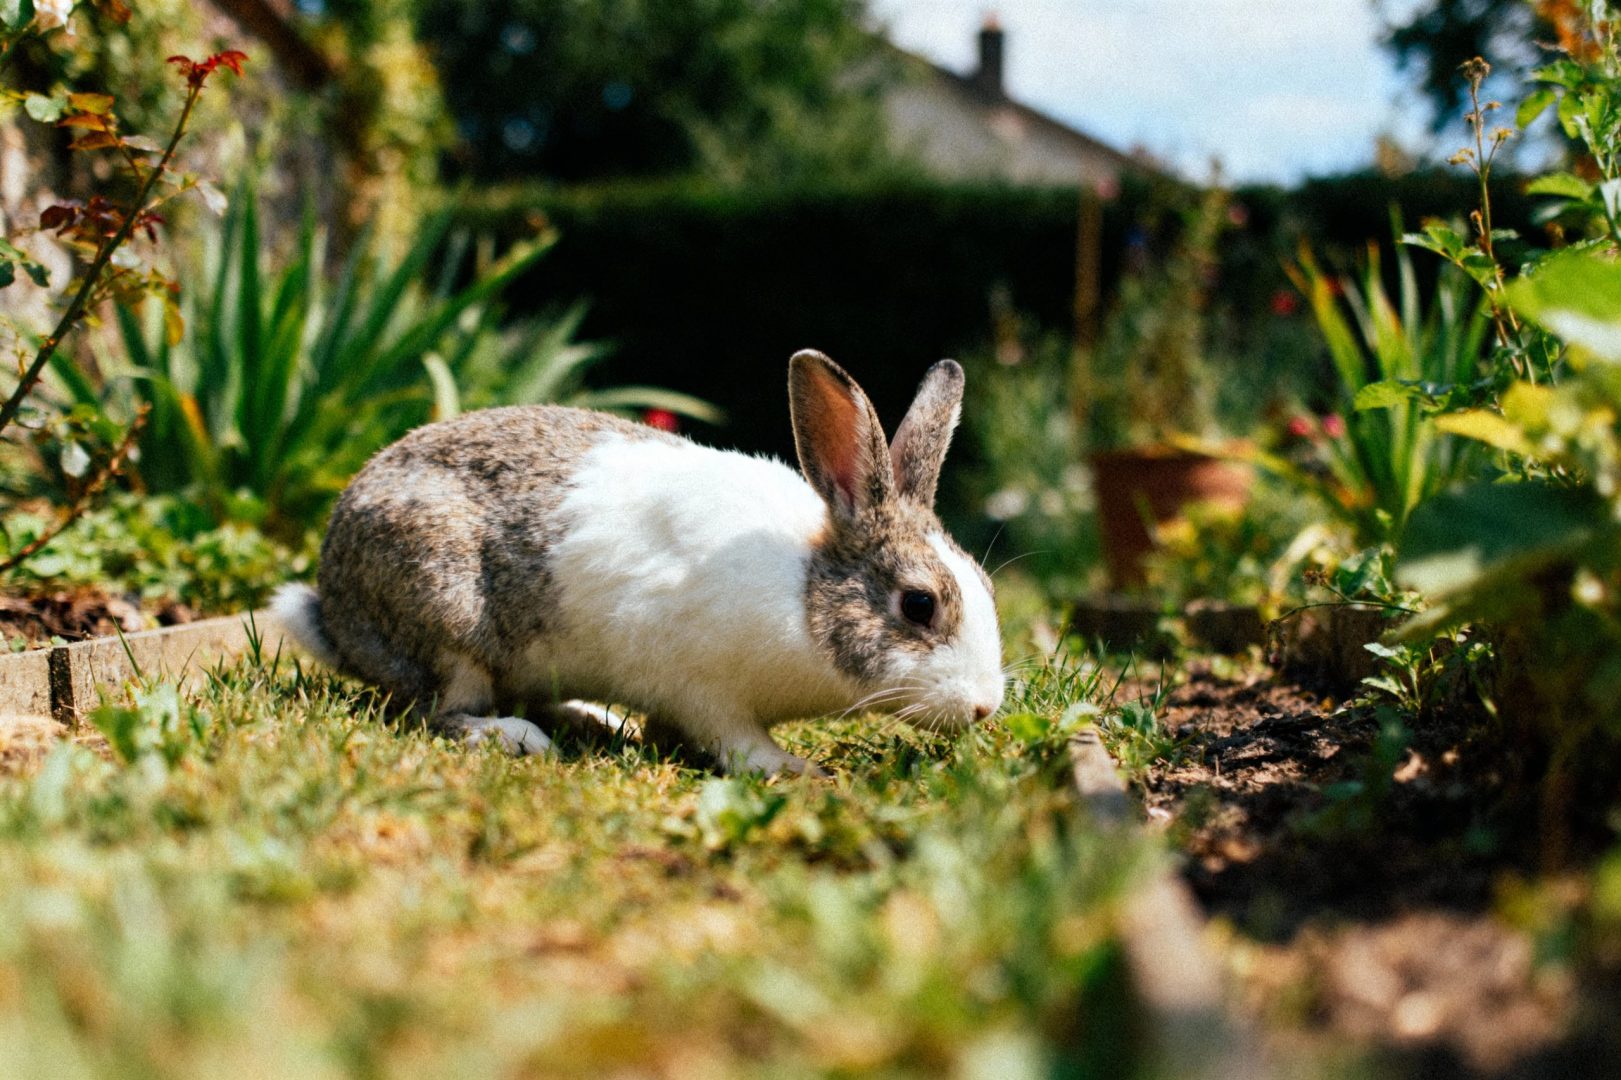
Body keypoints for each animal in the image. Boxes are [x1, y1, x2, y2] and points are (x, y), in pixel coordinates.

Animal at [272, 349, 1005, 775]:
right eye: (919, 604)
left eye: (985, 585)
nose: (983, 708)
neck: (805, 594)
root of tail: (336, 615)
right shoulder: (704, 691)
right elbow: (739, 743)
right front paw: (801, 771)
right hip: (448, 621)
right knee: (437, 713)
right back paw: (514, 737)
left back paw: (599, 719)